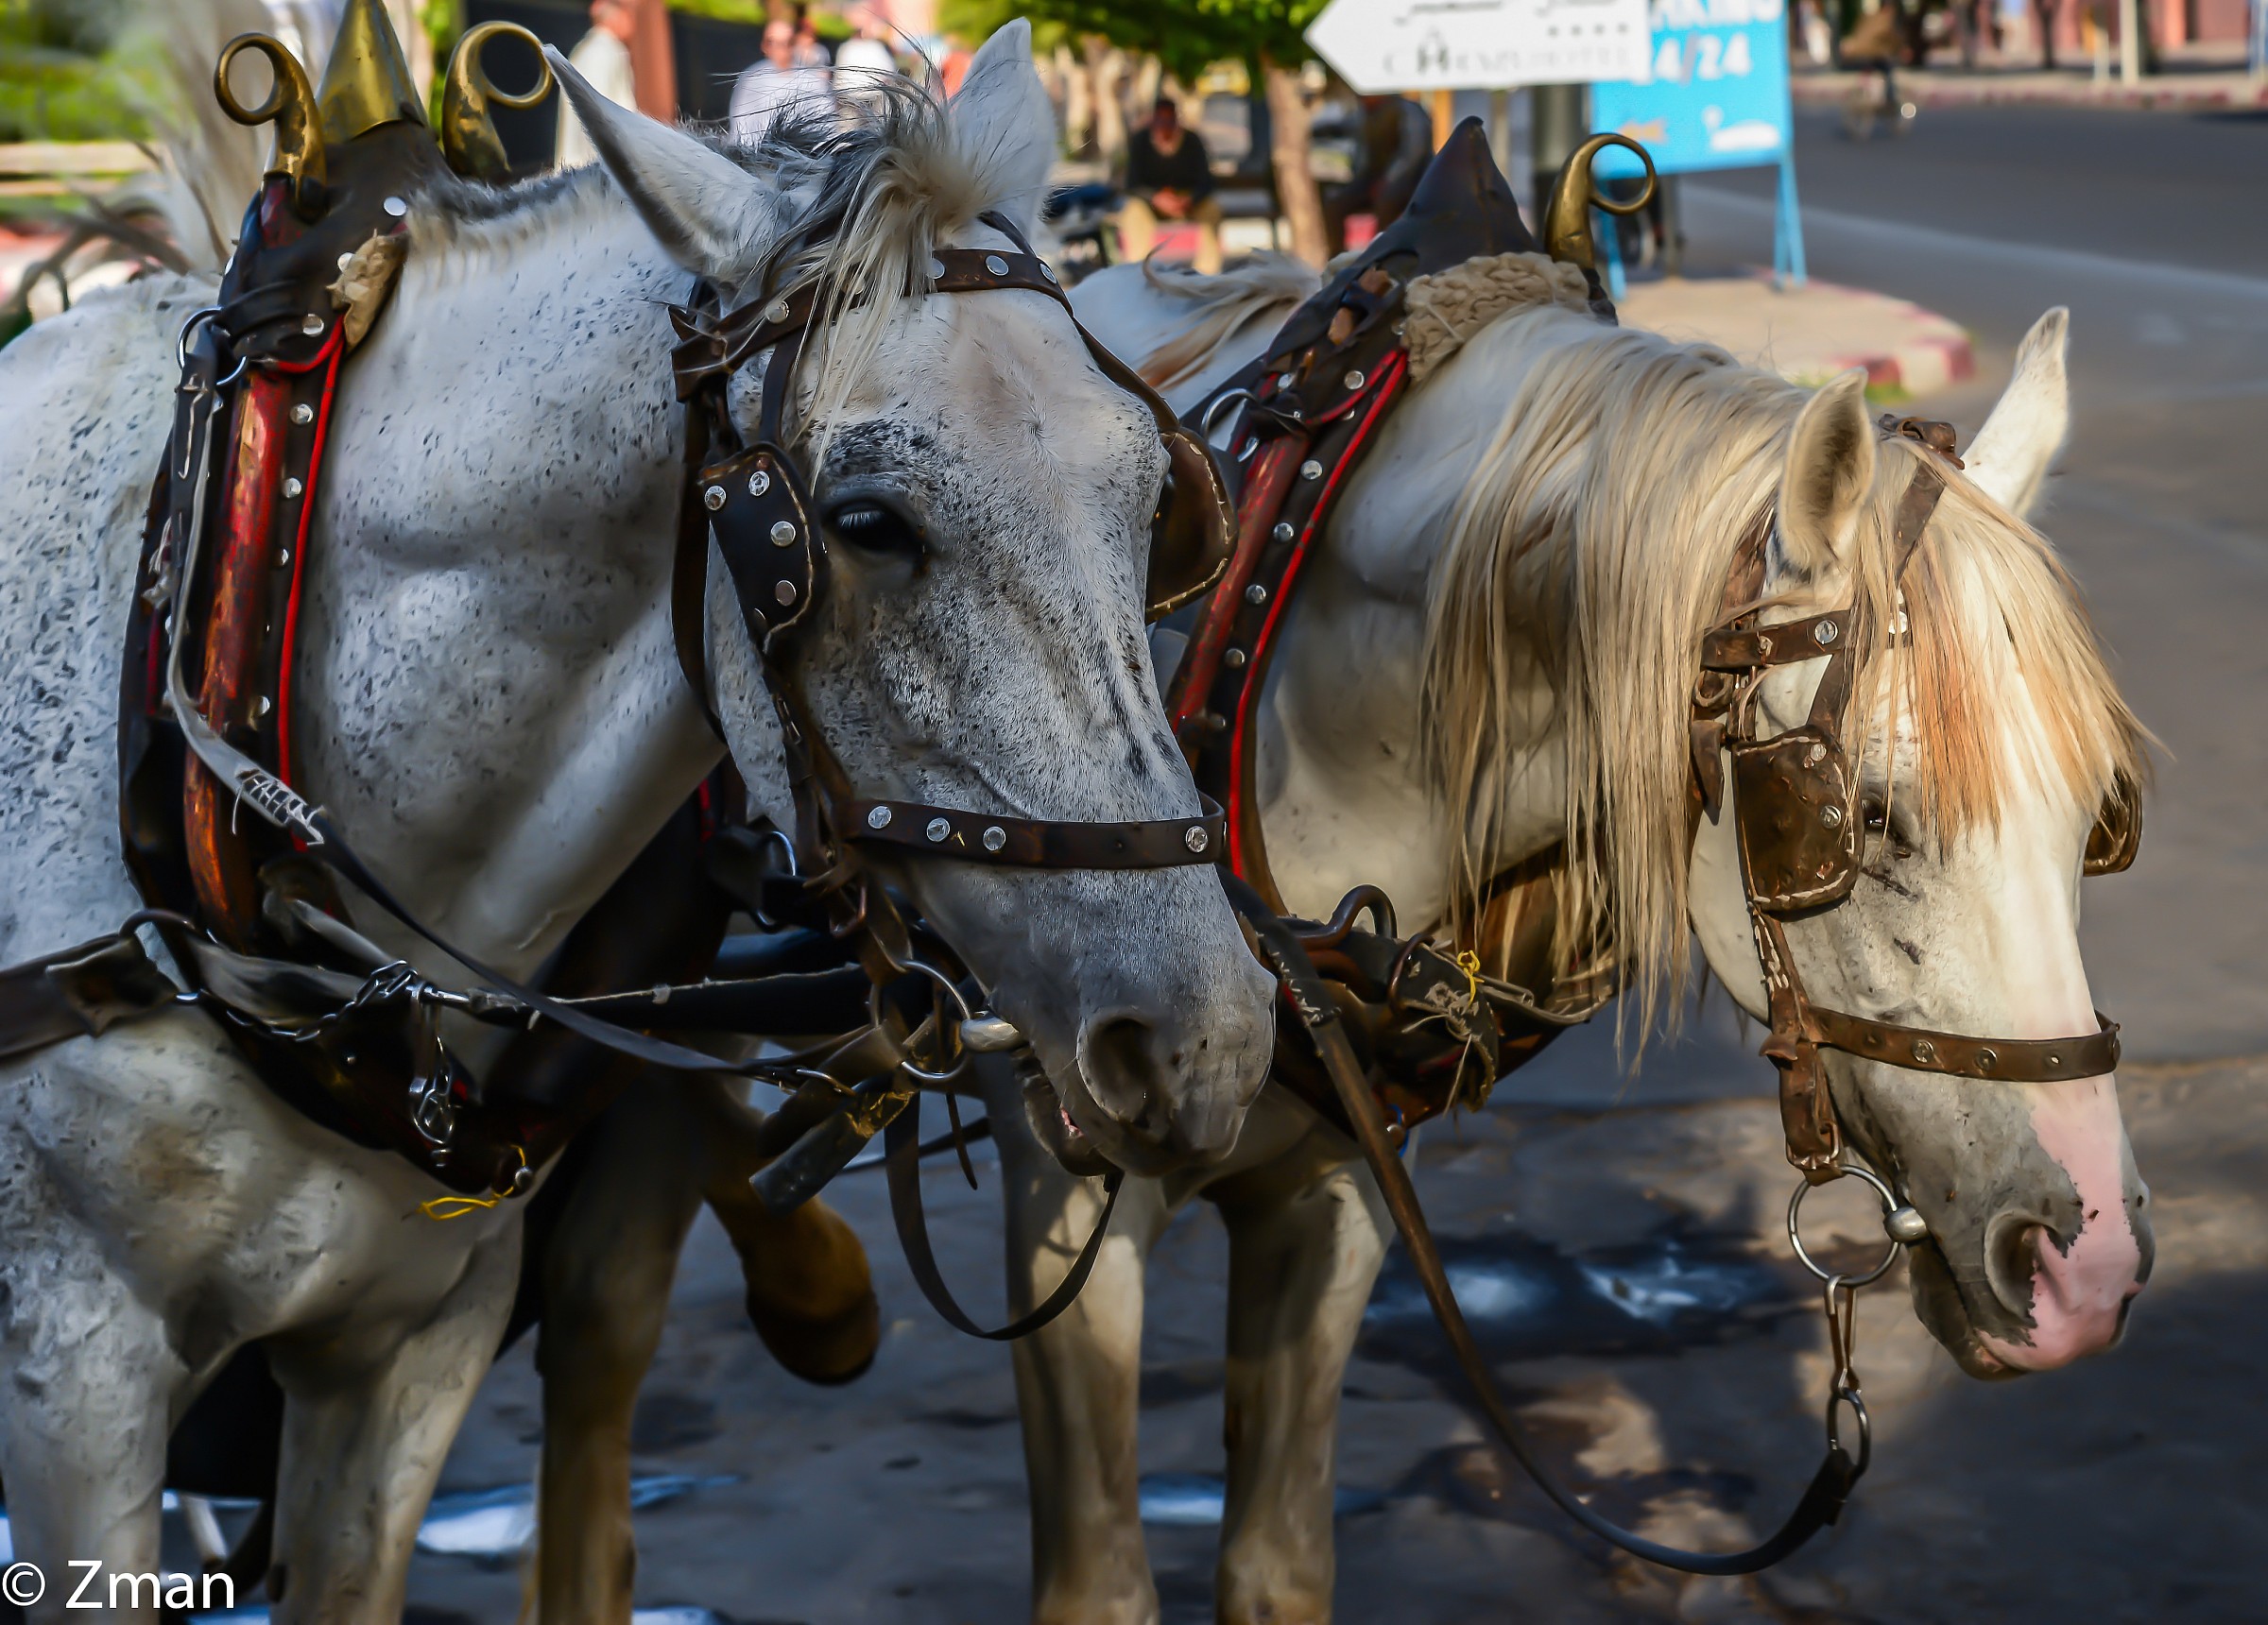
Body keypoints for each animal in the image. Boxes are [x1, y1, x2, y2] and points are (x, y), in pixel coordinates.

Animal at [927, 257, 2149, 1624]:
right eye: (1866, 814)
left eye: (2101, 817)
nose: (2088, 1270)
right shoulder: (1065, 1201)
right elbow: (1102, 1583)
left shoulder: (1340, 1183)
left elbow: (1278, 1563)